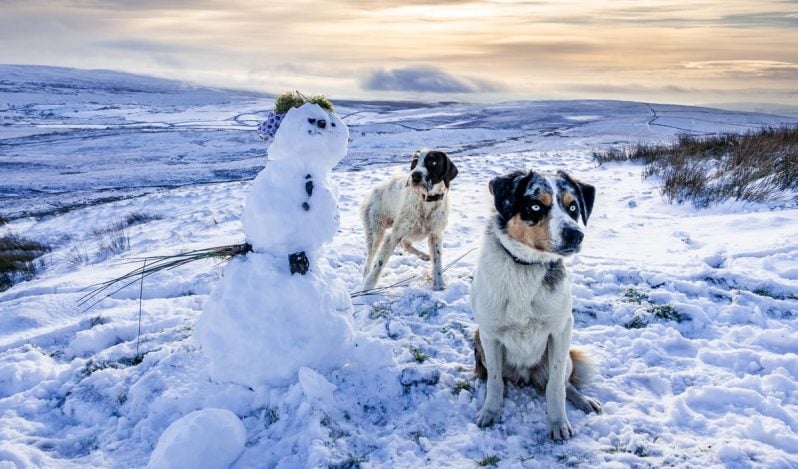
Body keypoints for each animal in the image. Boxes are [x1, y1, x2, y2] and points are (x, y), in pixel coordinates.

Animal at [468, 167, 600, 438]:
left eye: (573, 207)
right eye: (536, 206)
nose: (576, 234)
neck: (525, 266)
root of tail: (524, 376)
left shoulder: (561, 329)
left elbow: (556, 385)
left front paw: (558, 423)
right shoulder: (489, 333)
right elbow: (494, 381)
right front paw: (491, 411)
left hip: (566, 356)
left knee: (563, 382)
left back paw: (583, 400)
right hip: (477, 338)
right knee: (497, 378)